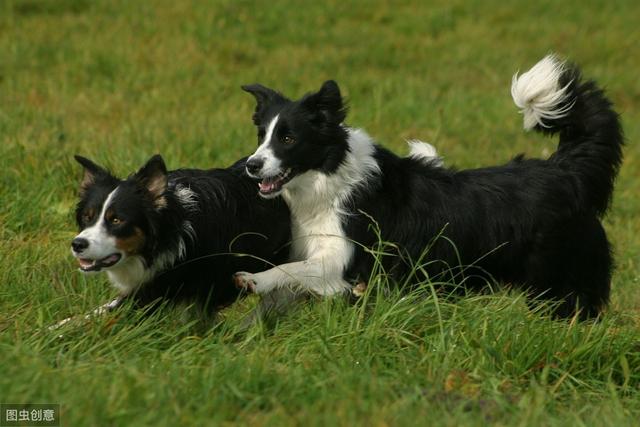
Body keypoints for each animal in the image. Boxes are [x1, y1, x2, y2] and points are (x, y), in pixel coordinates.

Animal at [232, 55, 624, 320]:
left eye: (288, 138)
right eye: (261, 136)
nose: (252, 165)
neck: (330, 177)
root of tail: (565, 170)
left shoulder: (345, 259)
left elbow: (290, 270)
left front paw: (253, 278)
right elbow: (284, 289)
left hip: (560, 282)